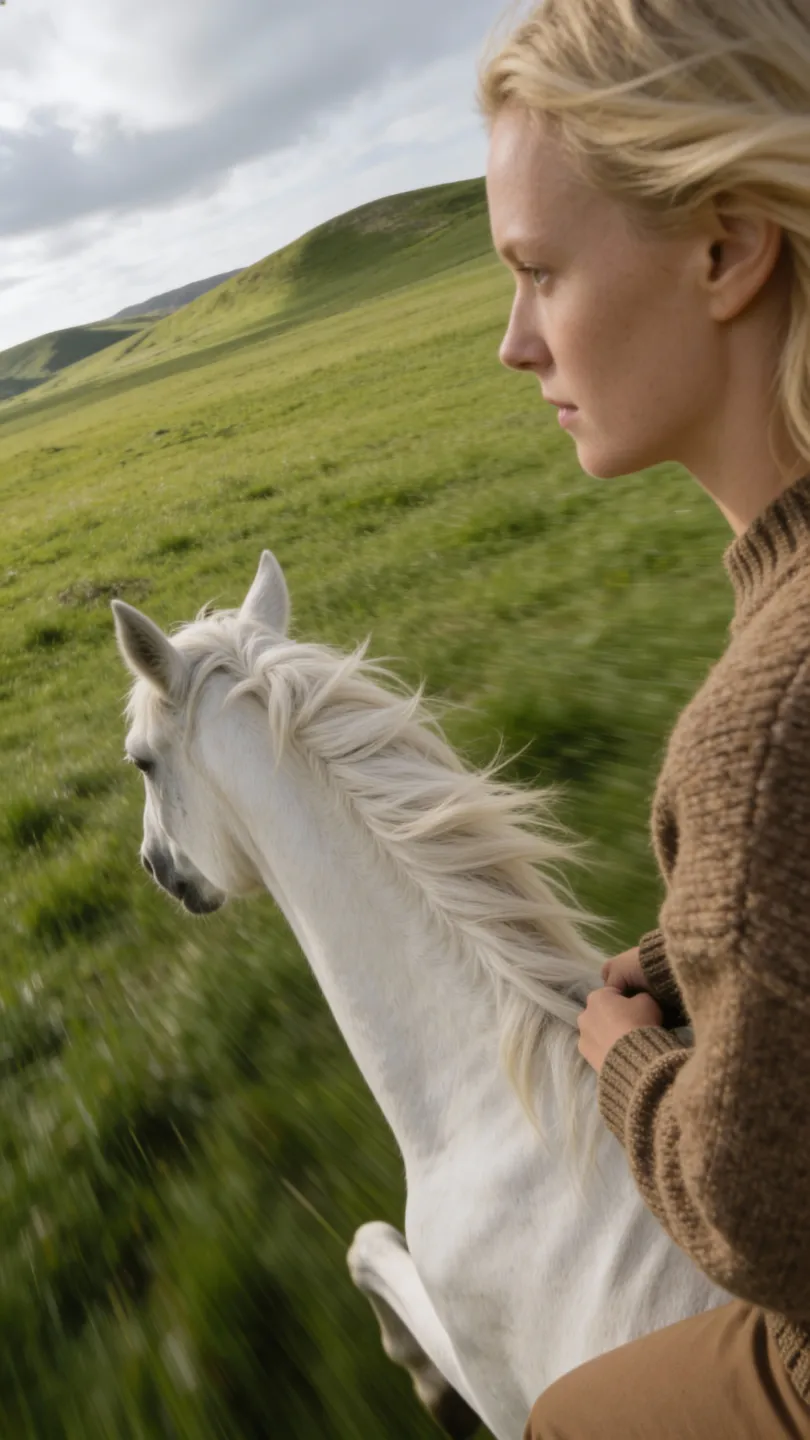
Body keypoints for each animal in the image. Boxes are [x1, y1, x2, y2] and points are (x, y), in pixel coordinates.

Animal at [111, 550, 728, 1440]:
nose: (156, 866)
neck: (499, 1104)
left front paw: (425, 1386)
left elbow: (366, 1244)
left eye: (141, 761)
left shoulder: (496, 1385)